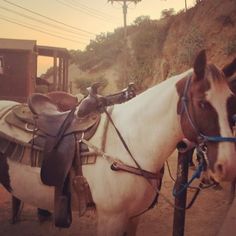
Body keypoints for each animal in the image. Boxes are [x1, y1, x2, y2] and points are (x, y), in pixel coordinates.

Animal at [0, 49, 236, 234]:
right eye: (203, 104)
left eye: (230, 103)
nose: (227, 166)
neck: (131, 144)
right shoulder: (110, 219)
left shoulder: (133, 218)